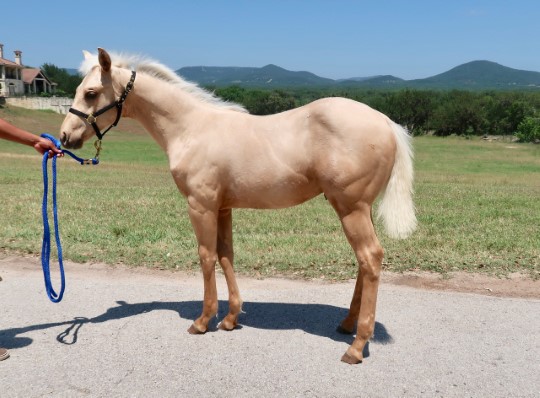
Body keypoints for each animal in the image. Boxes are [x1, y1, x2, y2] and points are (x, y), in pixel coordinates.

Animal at [59, 47, 416, 364]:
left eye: (91, 93)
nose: (64, 137)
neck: (190, 128)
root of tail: (387, 122)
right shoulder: (223, 208)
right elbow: (226, 255)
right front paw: (230, 318)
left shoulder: (200, 206)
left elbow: (206, 257)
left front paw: (203, 321)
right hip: (359, 209)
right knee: (364, 262)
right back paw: (346, 324)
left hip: (351, 208)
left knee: (370, 258)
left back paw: (356, 346)